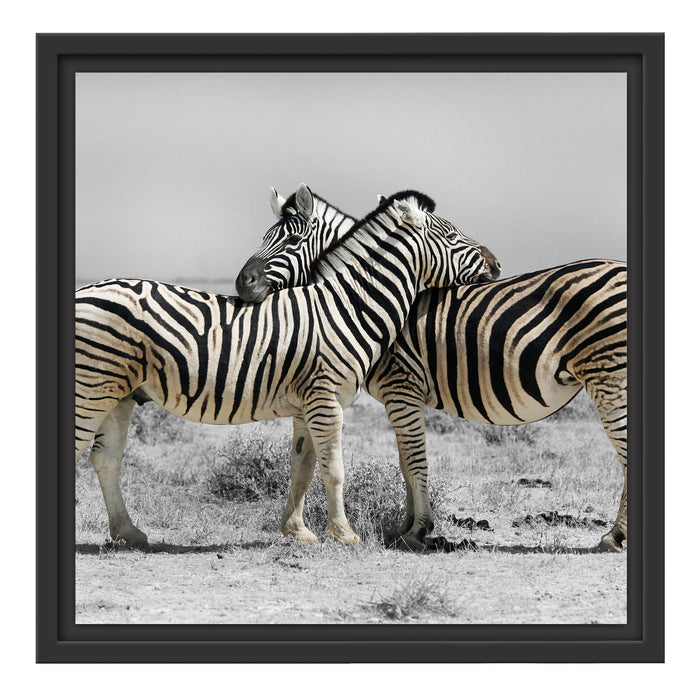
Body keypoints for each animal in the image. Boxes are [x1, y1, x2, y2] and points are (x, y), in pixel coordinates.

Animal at [75, 186, 497, 547]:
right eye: (453, 237)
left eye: (292, 241)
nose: (495, 264)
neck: (346, 307)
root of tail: (85, 289)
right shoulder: (326, 400)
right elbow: (334, 469)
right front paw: (344, 534)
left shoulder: (307, 403)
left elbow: (303, 467)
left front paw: (298, 531)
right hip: (91, 388)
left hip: (119, 394)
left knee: (105, 458)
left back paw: (128, 533)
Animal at [237, 193, 627, 553]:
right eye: (264, 237)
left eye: (291, 240)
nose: (243, 284)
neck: (359, 300)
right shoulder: (399, 397)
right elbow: (404, 462)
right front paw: (406, 526)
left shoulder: (401, 387)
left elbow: (414, 460)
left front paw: (418, 530)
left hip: (608, 375)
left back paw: (614, 536)